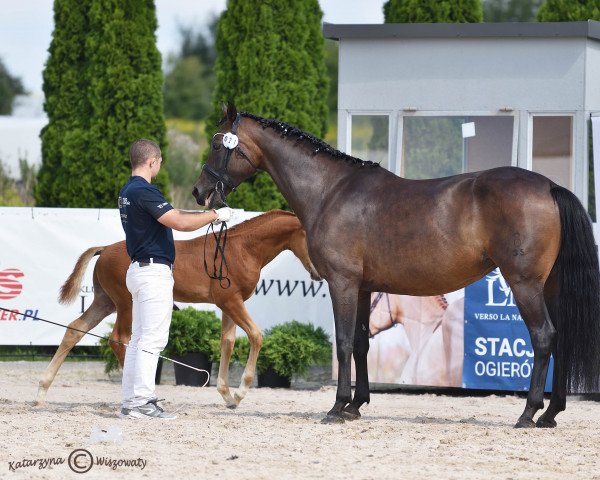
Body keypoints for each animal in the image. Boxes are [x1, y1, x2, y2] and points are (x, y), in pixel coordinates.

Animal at [35, 212, 322, 406]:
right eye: (312, 240)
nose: (319, 273)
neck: (242, 248)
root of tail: (104, 249)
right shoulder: (231, 301)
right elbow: (255, 335)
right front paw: (240, 392)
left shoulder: (229, 303)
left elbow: (227, 342)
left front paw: (227, 396)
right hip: (126, 303)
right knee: (119, 339)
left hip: (104, 302)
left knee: (75, 329)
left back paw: (41, 392)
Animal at [191, 104, 600, 428]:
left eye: (217, 144)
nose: (199, 192)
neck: (330, 191)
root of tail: (549, 187)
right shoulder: (364, 287)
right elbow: (360, 343)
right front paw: (356, 405)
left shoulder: (341, 283)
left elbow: (342, 342)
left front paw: (337, 407)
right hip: (550, 286)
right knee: (561, 338)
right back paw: (551, 414)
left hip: (524, 284)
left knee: (544, 337)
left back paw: (529, 413)